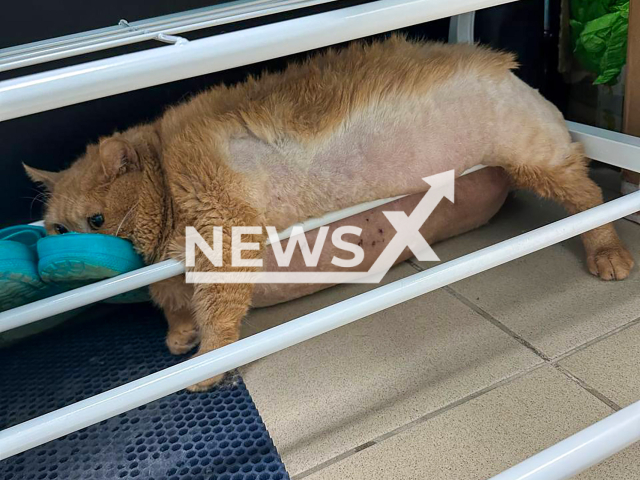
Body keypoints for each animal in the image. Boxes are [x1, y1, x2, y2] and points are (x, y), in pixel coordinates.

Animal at [26, 36, 636, 390]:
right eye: (56, 228)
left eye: (96, 222)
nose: (73, 255)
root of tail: (502, 62)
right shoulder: (178, 274)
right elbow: (174, 308)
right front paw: (180, 336)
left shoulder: (225, 240)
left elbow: (216, 317)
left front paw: (206, 361)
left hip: (540, 161)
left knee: (590, 199)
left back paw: (608, 251)